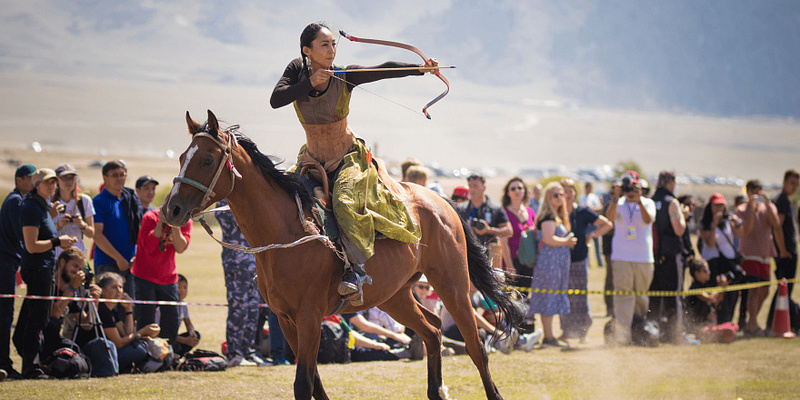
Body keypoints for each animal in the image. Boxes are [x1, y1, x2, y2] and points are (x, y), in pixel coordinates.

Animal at [163, 110, 524, 400]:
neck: (285, 233)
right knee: (433, 329)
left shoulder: (309, 316)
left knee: (476, 346)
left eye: (207, 160)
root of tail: (440, 202)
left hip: (453, 285)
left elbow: (304, 384)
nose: (172, 209)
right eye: (181, 157)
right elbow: (314, 382)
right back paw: (436, 390)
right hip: (393, 296)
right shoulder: (286, 319)